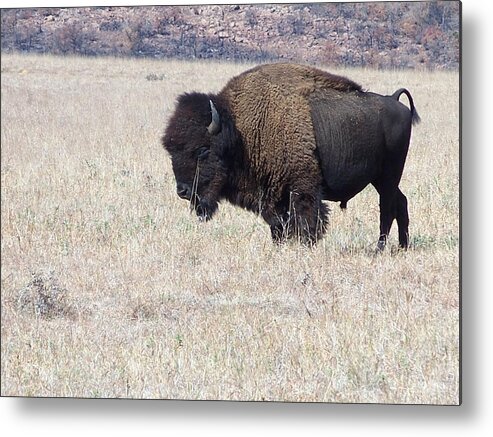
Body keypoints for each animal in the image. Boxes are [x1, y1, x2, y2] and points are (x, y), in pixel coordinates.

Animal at [162, 63, 418, 249]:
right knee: (400, 202)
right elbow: (277, 223)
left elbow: (305, 219)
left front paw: (305, 245)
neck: (240, 130)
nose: (182, 190)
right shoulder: (271, 195)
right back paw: (402, 246)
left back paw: (380, 249)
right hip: (382, 179)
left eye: (202, 150)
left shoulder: (302, 187)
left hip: (388, 176)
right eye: (171, 151)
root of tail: (394, 100)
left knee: (387, 209)